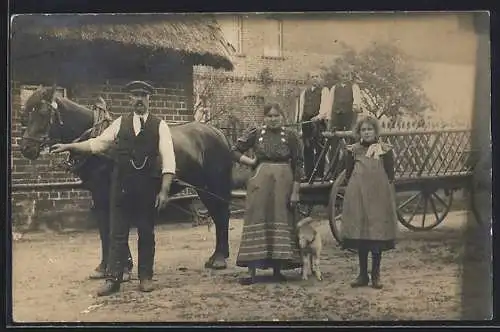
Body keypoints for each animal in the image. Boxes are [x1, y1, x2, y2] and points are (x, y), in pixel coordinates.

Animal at [17, 85, 232, 272]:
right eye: (26, 115)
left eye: (43, 113)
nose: (26, 148)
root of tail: (218, 132)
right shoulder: (98, 195)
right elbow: (104, 229)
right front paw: (106, 267)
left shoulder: (111, 192)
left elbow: (113, 228)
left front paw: (121, 267)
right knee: (218, 214)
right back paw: (217, 256)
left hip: (214, 185)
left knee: (222, 215)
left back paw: (219, 259)